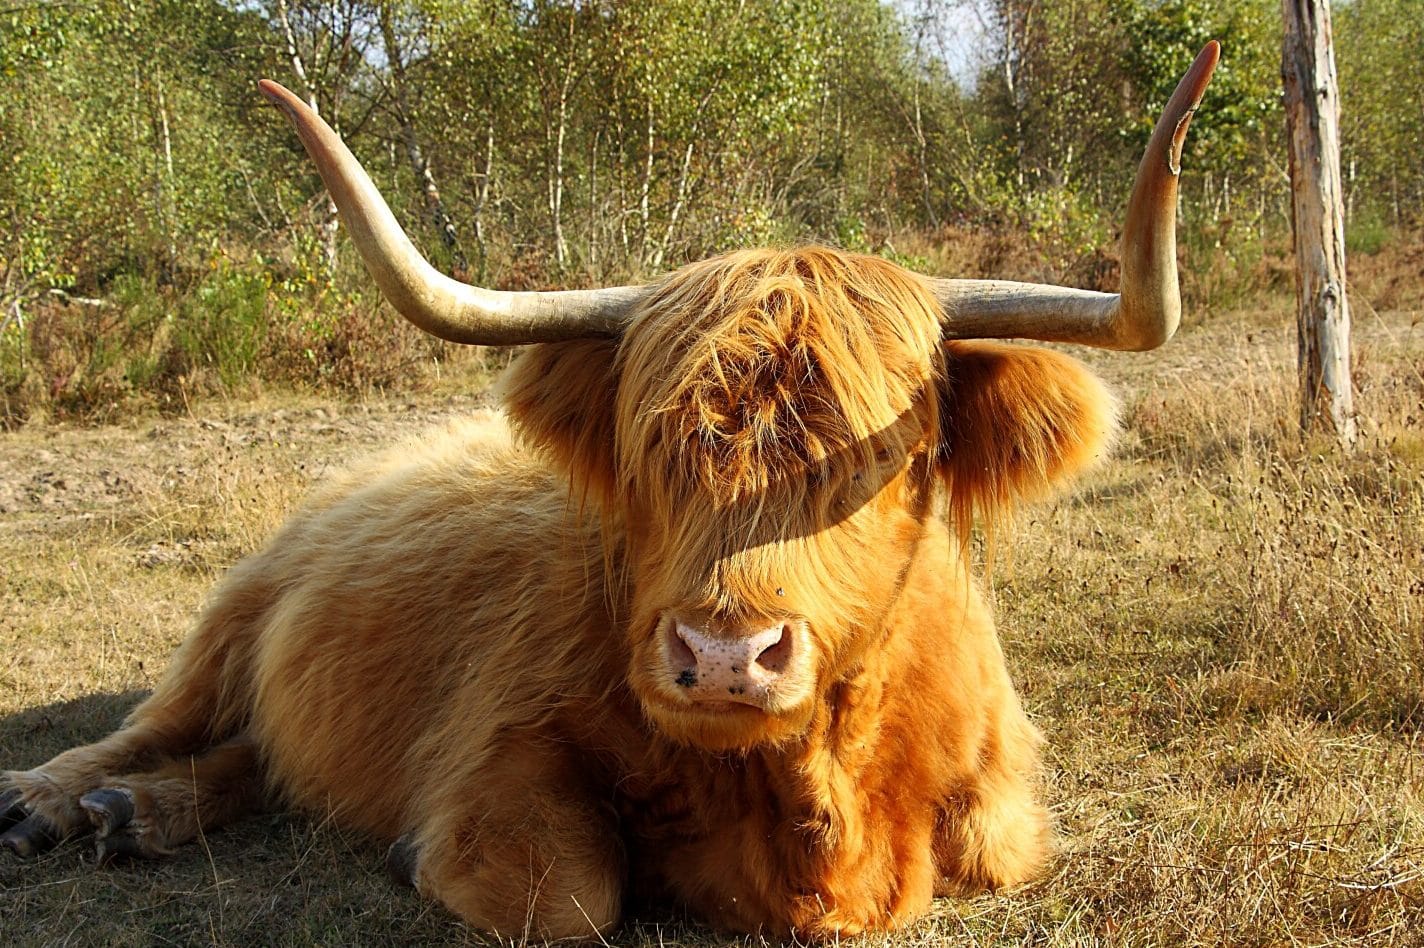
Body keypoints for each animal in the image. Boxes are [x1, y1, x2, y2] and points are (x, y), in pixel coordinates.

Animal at [1, 43, 1219, 940]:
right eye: (651, 447)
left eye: (897, 453)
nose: (724, 655)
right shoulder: (499, 756)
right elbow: (569, 897)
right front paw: (409, 857)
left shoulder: (1003, 812)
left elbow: (992, 846)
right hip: (233, 613)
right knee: (154, 723)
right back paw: (57, 800)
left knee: (257, 756)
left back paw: (137, 815)